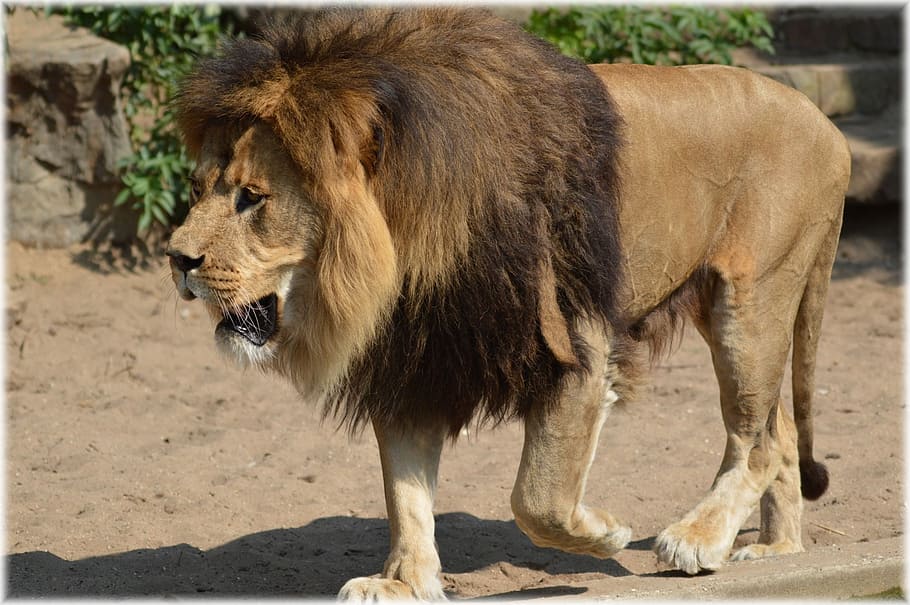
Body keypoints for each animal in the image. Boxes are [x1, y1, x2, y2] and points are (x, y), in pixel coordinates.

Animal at [167, 7, 849, 600]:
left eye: (252, 198)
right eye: (199, 190)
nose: (176, 258)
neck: (410, 253)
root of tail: (828, 124)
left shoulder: (578, 346)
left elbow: (536, 498)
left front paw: (603, 533)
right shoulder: (416, 362)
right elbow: (405, 495)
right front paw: (402, 582)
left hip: (751, 301)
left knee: (756, 440)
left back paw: (696, 539)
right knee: (781, 429)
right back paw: (774, 550)